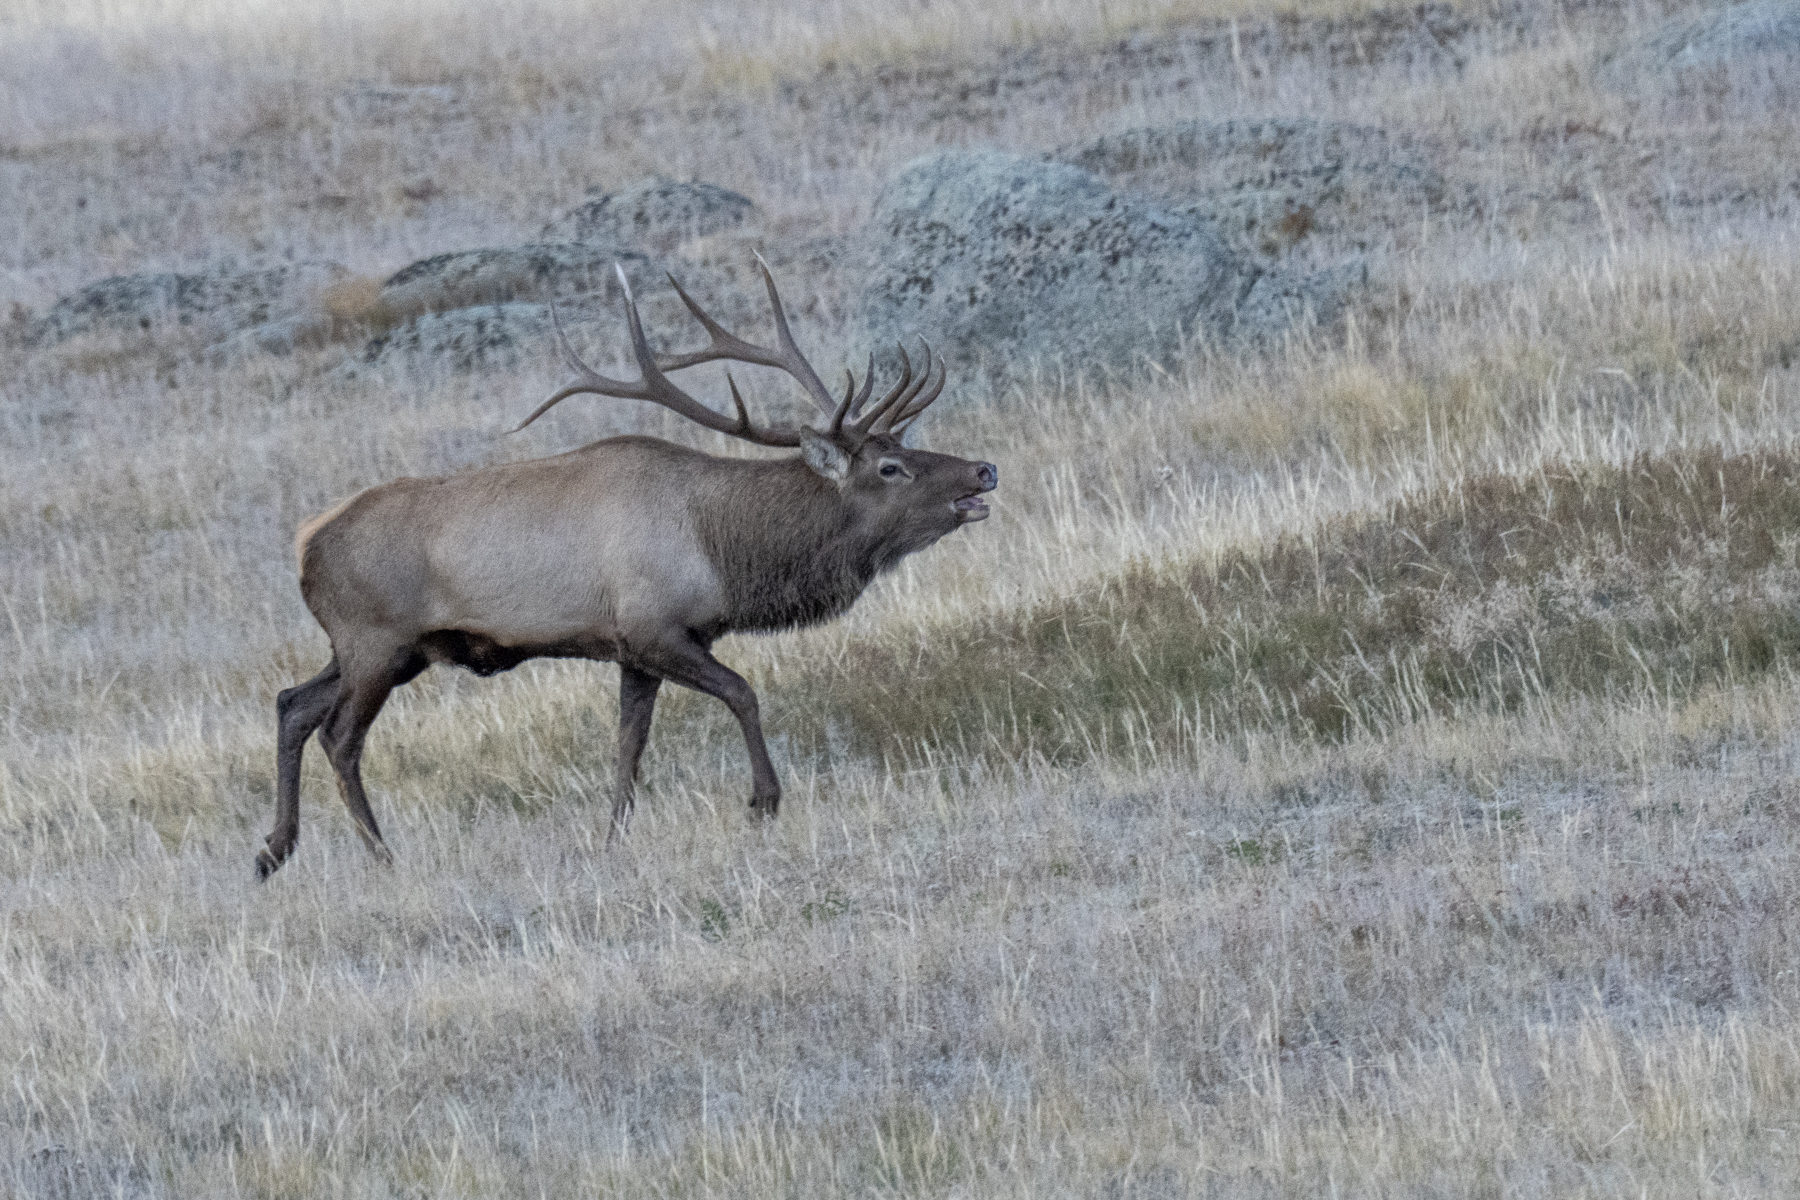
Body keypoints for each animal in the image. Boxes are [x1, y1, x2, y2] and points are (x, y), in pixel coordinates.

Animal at [257, 258, 997, 879]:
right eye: (891, 467)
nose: (983, 470)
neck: (723, 552)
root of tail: (304, 543)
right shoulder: (655, 627)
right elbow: (742, 693)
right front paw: (762, 801)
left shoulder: (631, 652)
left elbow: (628, 746)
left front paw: (614, 837)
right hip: (376, 640)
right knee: (339, 736)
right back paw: (382, 856)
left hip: (378, 649)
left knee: (292, 704)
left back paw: (274, 850)